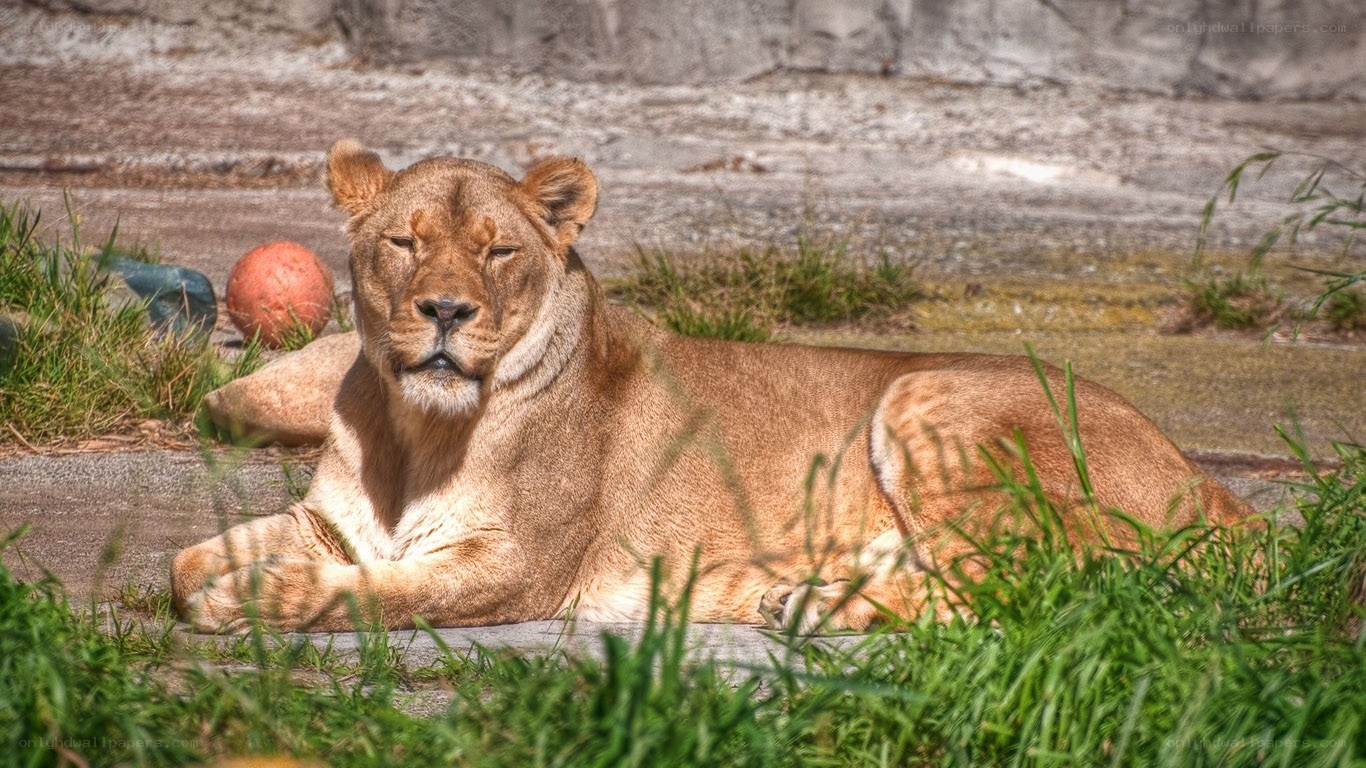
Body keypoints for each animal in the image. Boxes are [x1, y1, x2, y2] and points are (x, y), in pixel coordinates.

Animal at [171, 140, 1250, 634]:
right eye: (405, 241)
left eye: (499, 251)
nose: (446, 310)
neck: (413, 428)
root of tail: (1216, 487)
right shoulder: (329, 524)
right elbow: (186, 564)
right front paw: (220, 580)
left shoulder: (521, 570)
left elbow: (378, 595)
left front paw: (265, 597)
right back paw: (812, 599)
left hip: (929, 396)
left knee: (1031, 585)